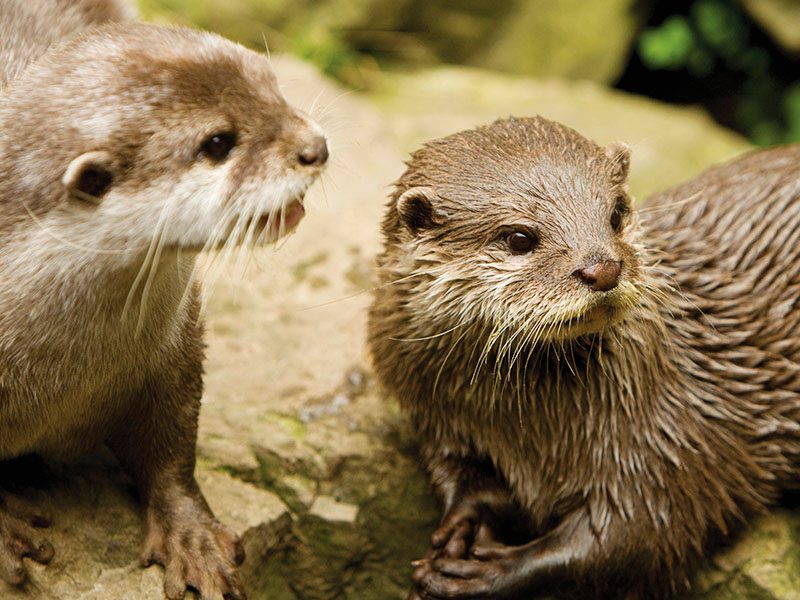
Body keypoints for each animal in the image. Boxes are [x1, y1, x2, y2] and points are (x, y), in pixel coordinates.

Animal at [0, 2, 328, 596]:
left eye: (272, 85)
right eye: (218, 142)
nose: (316, 147)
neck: (60, 377)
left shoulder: (173, 349)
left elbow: (172, 442)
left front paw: (190, 536)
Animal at [368, 115, 800, 596]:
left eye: (615, 214)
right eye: (519, 238)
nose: (603, 268)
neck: (526, 429)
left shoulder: (668, 439)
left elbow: (637, 537)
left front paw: (485, 573)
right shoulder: (437, 419)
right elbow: (464, 481)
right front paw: (460, 528)